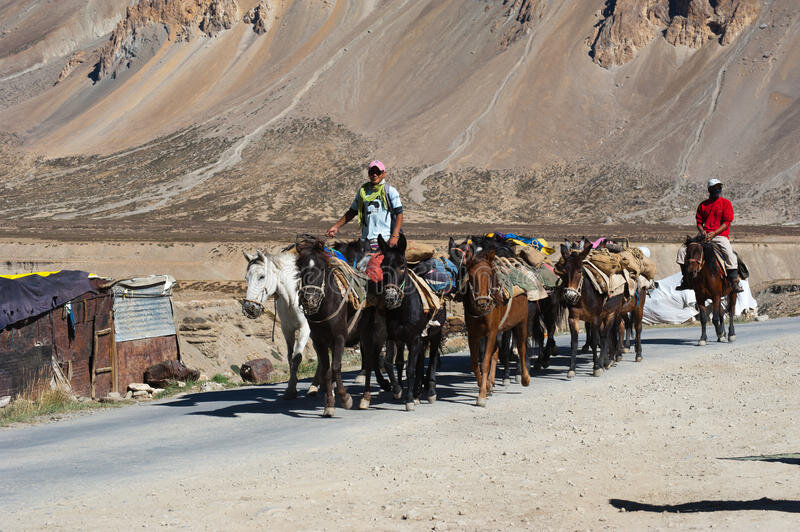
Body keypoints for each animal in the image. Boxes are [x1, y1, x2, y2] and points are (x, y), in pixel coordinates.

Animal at [242, 250, 320, 400]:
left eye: (262, 276)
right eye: (246, 278)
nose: (249, 307)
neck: (292, 299)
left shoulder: (304, 329)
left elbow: (297, 357)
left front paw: (291, 389)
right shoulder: (287, 330)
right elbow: (290, 357)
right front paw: (292, 387)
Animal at [460, 249, 528, 408]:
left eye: (490, 275)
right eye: (471, 276)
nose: (482, 302)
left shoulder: (491, 332)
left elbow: (485, 362)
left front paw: (481, 396)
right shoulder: (474, 334)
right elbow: (475, 363)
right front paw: (485, 386)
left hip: (521, 322)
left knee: (521, 348)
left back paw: (525, 378)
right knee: (496, 353)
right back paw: (490, 383)